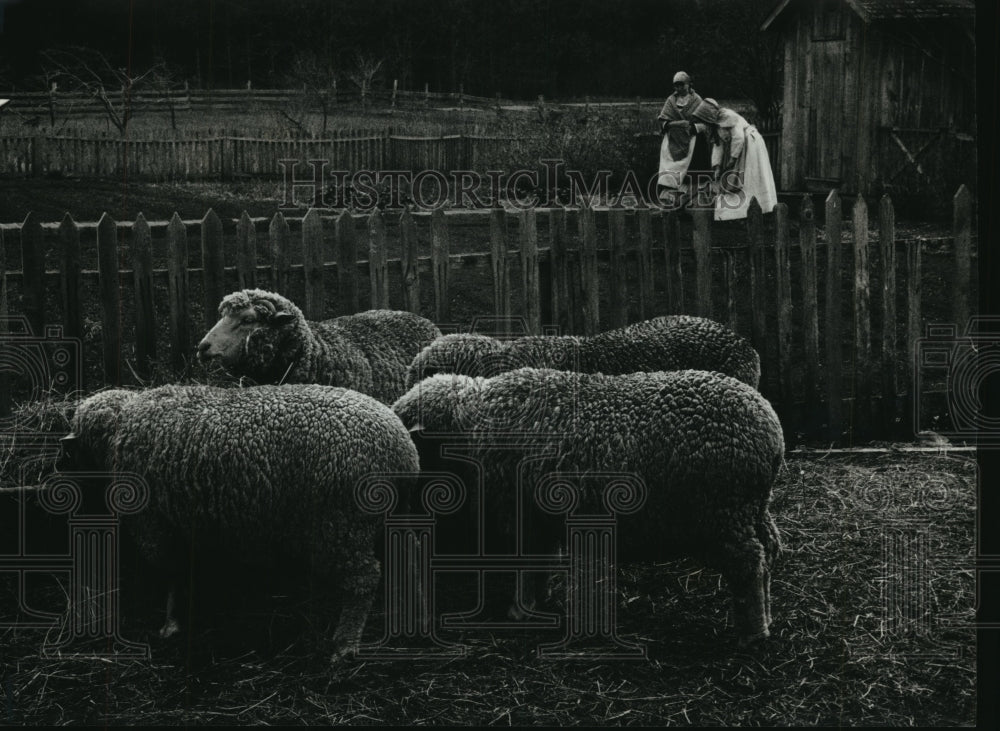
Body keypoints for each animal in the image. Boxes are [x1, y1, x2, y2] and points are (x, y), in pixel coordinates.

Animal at [59, 386, 418, 660]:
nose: (62, 472)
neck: (119, 428)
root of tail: (403, 448)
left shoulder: (155, 525)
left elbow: (172, 573)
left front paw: (171, 623)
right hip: (367, 522)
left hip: (342, 523)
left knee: (364, 580)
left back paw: (345, 643)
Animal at [394, 372, 784, 648]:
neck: (470, 424)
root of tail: (769, 427)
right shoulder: (539, 517)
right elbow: (541, 562)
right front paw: (539, 602)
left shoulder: (519, 513)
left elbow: (526, 566)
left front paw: (520, 610)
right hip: (753, 509)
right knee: (768, 553)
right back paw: (766, 617)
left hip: (724, 513)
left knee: (748, 564)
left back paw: (752, 633)